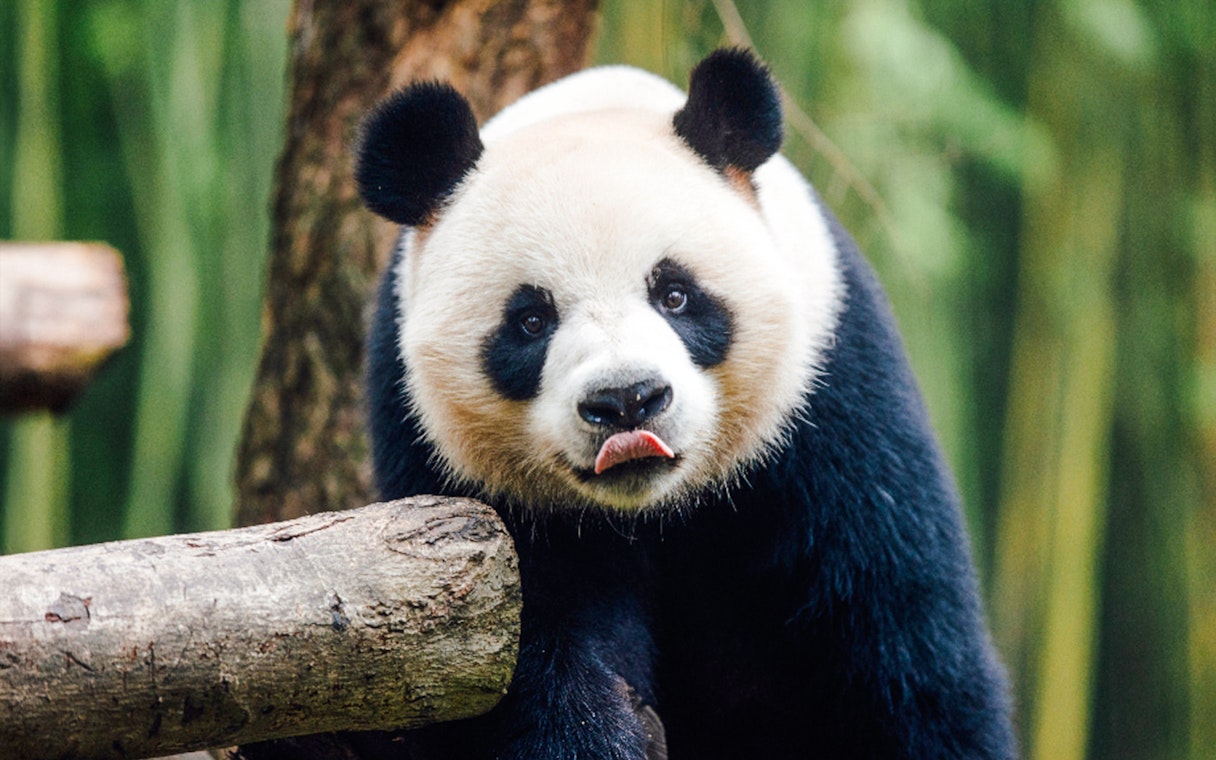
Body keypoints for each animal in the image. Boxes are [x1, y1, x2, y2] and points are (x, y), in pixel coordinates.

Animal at [345, 49, 1013, 759]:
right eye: (529, 321)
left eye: (675, 294)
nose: (626, 402)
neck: (654, 509)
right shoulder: (452, 471)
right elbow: (529, 651)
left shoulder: (837, 403)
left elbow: (900, 645)